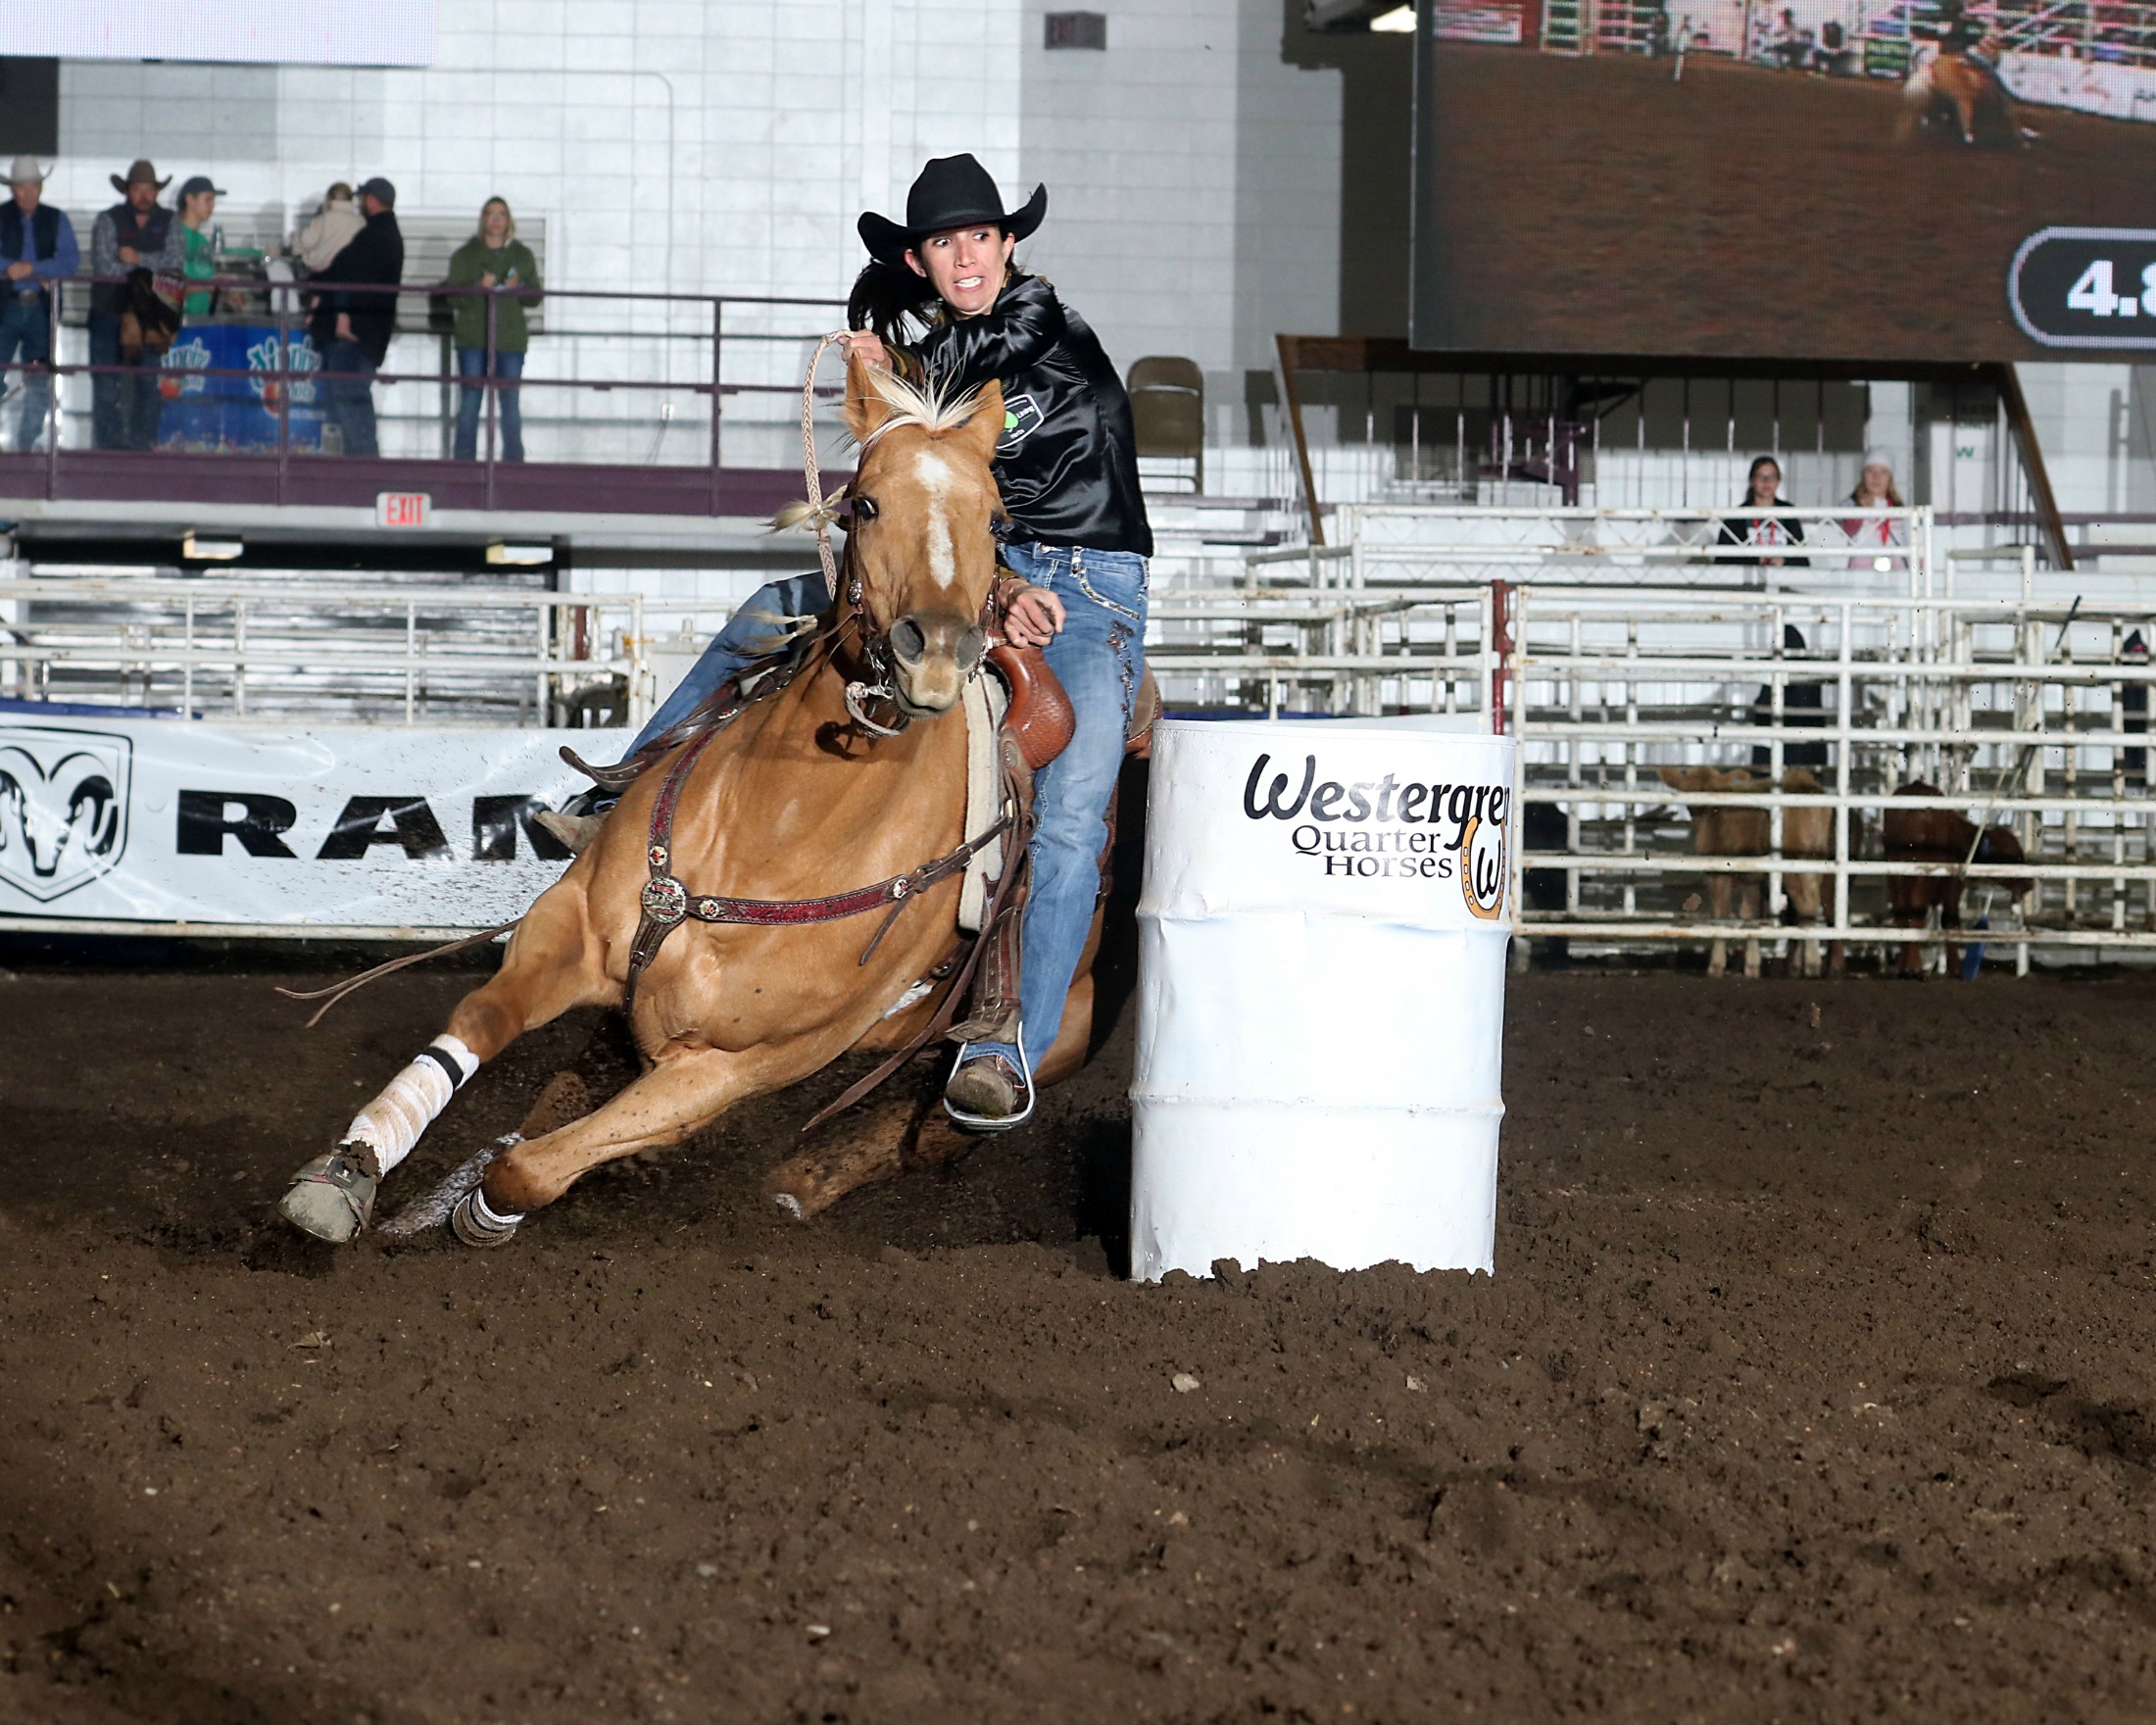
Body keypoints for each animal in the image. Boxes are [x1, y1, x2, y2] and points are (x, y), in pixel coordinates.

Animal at [277, 356, 1109, 1246]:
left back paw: (803, 1183)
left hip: (1047, 1038)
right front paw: (350, 1173)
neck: (780, 831)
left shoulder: (732, 1068)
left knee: (928, 1126)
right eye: (867, 502)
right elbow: (479, 1027)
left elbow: (534, 1167)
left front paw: (482, 1210)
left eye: (995, 518)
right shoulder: (568, 931)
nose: (941, 652)